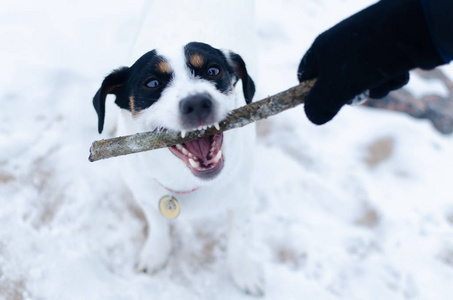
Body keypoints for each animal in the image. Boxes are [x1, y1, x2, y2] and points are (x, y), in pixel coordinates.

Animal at [92, 41, 262, 296]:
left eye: (213, 70)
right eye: (152, 83)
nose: (197, 102)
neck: (186, 181)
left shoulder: (243, 200)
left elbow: (238, 240)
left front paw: (244, 273)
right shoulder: (146, 196)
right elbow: (158, 224)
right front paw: (155, 253)